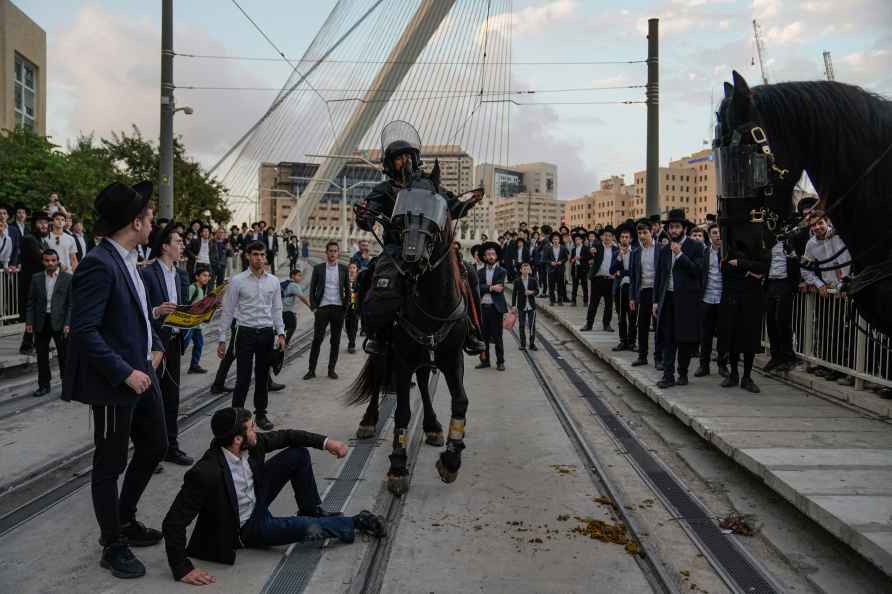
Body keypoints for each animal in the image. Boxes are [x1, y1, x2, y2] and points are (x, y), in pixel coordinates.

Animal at [344, 197, 470, 492]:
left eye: (440, 217)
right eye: (400, 219)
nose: (412, 257)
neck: (433, 304)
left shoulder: (452, 358)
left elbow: (460, 401)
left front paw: (451, 460)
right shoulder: (402, 359)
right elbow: (402, 412)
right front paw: (398, 467)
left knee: (423, 381)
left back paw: (433, 425)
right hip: (384, 349)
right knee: (378, 376)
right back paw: (369, 421)